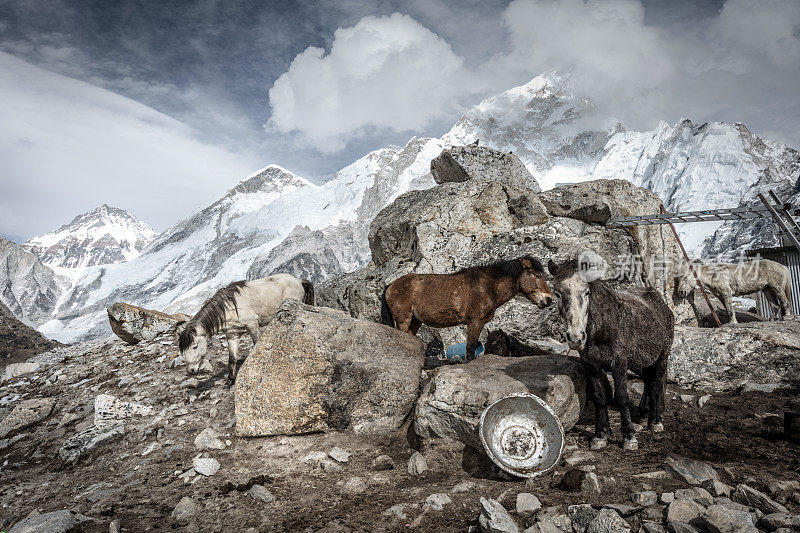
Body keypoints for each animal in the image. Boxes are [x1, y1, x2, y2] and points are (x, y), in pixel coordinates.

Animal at [177, 274, 312, 382]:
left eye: (195, 346)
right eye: (183, 350)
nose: (190, 371)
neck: (228, 308)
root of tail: (298, 280)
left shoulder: (253, 325)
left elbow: (257, 344)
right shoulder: (232, 336)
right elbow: (232, 359)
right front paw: (231, 380)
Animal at [378, 255, 552, 362]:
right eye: (537, 275)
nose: (548, 300)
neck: (488, 286)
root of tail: (390, 286)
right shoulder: (475, 322)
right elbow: (470, 348)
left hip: (414, 321)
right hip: (403, 320)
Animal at [548, 258, 672, 448]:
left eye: (587, 292)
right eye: (557, 293)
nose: (576, 337)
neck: (602, 327)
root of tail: (661, 304)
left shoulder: (619, 364)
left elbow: (621, 397)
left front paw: (629, 437)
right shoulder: (591, 365)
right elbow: (599, 397)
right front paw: (600, 436)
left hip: (661, 358)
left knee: (656, 385)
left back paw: (656, 421)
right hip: (641, 362)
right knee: (648, 381)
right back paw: (645, 415)